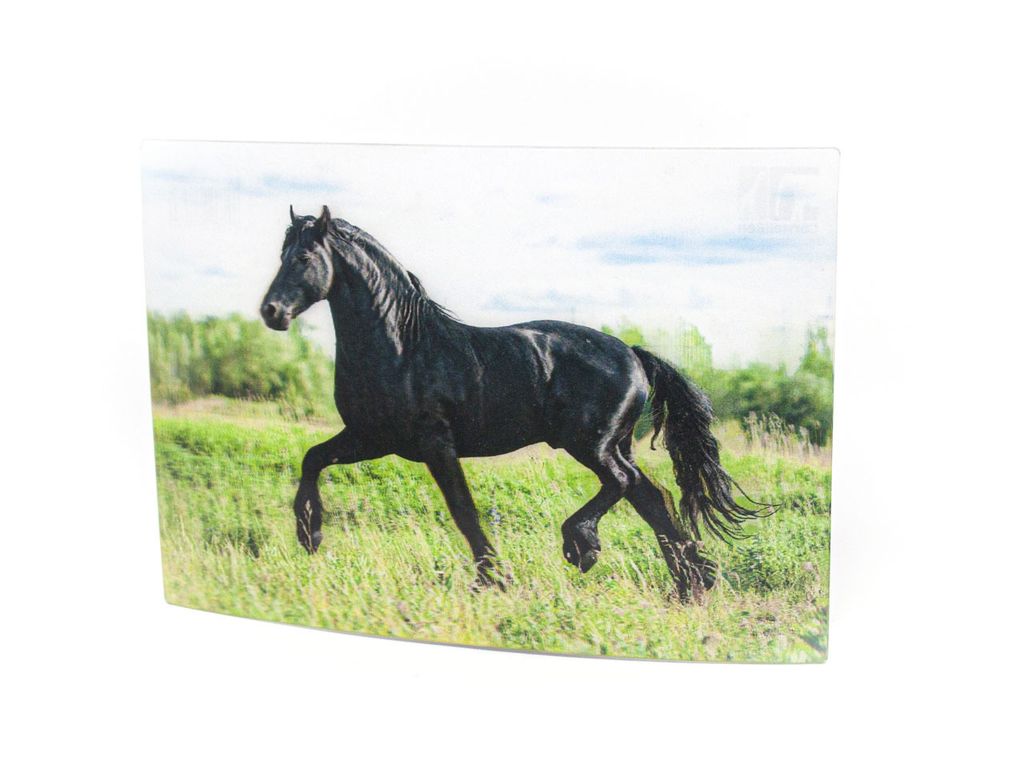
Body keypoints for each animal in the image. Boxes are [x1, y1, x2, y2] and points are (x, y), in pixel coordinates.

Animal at [260, 205, 769, 601]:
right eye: (280, 255)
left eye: (304, 256)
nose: (272, 312)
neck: (403, 347)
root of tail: (632, 353)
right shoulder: (371, 437)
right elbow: (312, 459)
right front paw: (310, 534)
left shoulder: (434, 443)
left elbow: (463, 510)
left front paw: (492, 580)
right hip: (611, 444)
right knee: (650, 495)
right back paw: (692, 584)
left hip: (591, 444)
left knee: (624, 484)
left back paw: (584, 548)